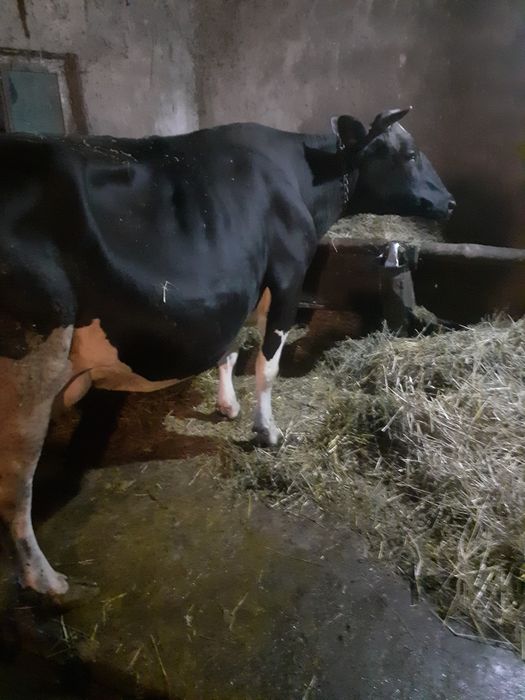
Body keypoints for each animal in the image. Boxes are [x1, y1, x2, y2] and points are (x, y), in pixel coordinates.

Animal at [0, 107, 454, 602]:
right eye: (409, 153)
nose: (451, 202)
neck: (303, 178)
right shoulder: (287, 276)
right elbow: (266, 366)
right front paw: (267, 431)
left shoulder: (241, 284)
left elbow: (229, 351)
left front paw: (227, 404)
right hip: (30, 363)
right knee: (16, 484)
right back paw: (45, 579)